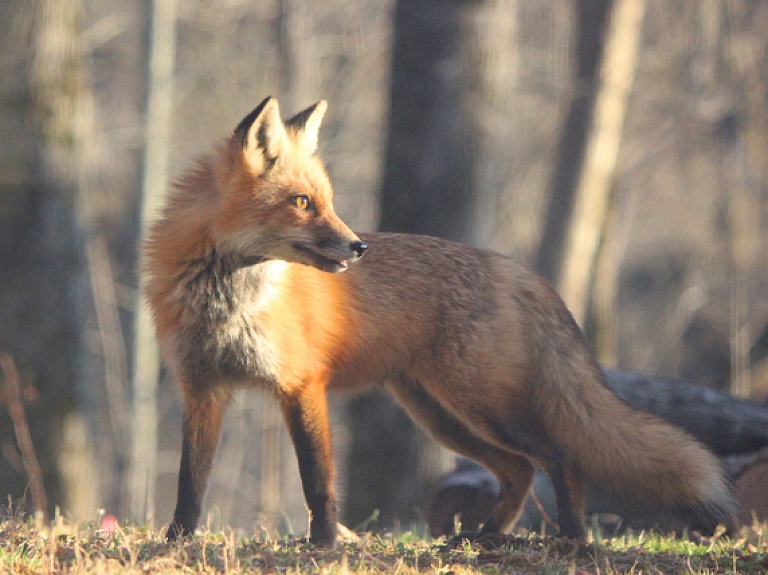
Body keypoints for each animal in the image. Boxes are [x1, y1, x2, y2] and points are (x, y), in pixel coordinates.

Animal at [146, 97, 736, 548]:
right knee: (519, 471)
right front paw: (176, 542)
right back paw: (485, 537)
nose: (358, 247)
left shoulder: (302, 386)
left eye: (326, 202)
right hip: (441, 416)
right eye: (302, 202)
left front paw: (325, 545)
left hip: (483, 405)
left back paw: (570, 539)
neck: (227, 298)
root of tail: (513, 268)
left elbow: (318, 482)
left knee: (559, 458)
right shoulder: (203, 389)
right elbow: (189, 484)